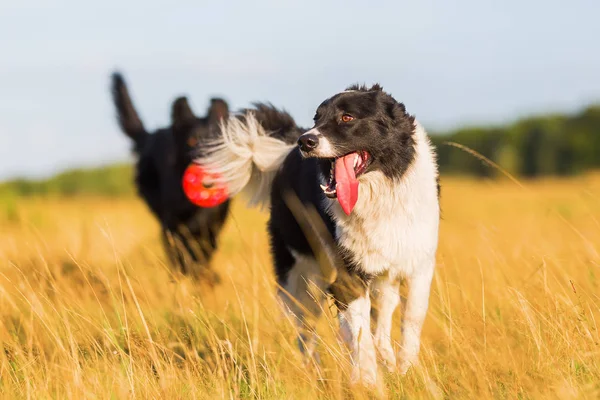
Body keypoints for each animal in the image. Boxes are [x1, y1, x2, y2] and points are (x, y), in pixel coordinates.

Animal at [110, 72, 230, 280]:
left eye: (217, 142)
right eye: (192, 141)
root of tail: (149, 136)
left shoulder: (214, 222)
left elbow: (205, 240)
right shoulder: (172, 221)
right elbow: (182, 245)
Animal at [199, 85, 438, 384]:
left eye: (347, 118)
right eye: (317, 118)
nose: (306, 142)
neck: (380, 193)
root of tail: (286, 151)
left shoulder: (418, 267)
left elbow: (411, 322)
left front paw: (406, 372)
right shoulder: (347, 275)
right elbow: (359, 333)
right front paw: (368, 381)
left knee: (381, 318)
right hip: (300, 276)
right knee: (306, 330)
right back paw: (317, 373)